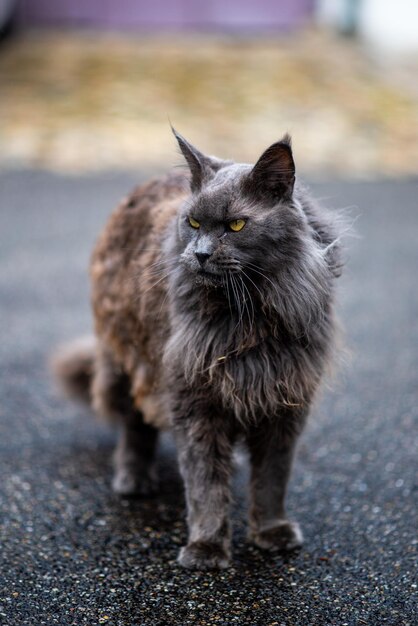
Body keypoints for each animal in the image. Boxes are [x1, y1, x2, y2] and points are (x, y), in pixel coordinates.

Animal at [54, 129, 342, 568]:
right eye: (192, 223)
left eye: (236, 225)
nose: (201, 254)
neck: (245, 317)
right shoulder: (194, 400)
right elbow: (204, 480)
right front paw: (206, 548)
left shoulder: (285, 402)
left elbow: (272, 478)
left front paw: (271, 532)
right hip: (128, 362)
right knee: (134, 424)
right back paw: (133, 480)